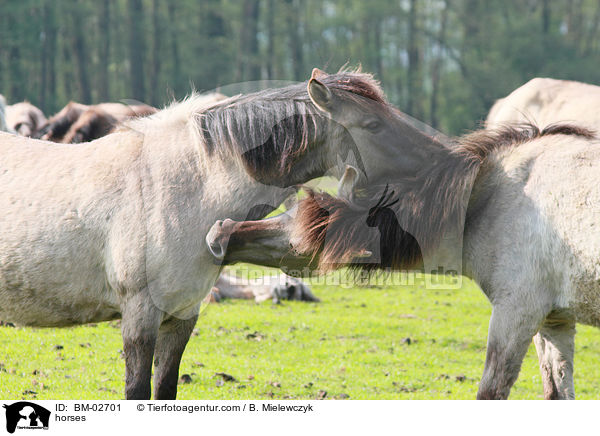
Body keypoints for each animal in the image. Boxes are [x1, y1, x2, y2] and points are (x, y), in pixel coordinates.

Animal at [0, 67, 432, 398]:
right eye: (373, 125)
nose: (434, 159)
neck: (183, 186)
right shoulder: (140, 316)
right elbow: (137, 392)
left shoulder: (181, 316)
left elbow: (165, 390)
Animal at [206, 122, 600, 398]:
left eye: (298, 226)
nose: (219, 233)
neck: (488, 202)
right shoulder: (554, 320)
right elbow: (557, 392)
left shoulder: (517, 311)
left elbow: (490, 391)